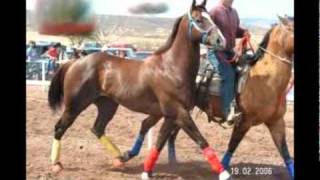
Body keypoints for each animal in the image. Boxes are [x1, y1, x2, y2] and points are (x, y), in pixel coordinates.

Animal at [47, 0, 231, 179]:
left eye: (211, 18)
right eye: (199, 20)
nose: (221, 41)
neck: (170, 68)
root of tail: (75, 62)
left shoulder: (170, 115)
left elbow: (159, 142)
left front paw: (146, 171)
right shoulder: (179, 113)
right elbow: (200, 139)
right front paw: (223, 173)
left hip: (107, 105)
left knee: (97, 128)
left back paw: (119, 159)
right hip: (75, 105)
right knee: (60, 127)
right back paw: (56, 165)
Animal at [124, 15, 294, 179]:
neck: (266, 80)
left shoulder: (276, 122)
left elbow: (285, 153)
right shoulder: (244, 121)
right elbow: (232, 145)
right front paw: (222, 168)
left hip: (178, 110)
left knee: (163, 131)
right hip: (171, 109)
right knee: (151, 126)